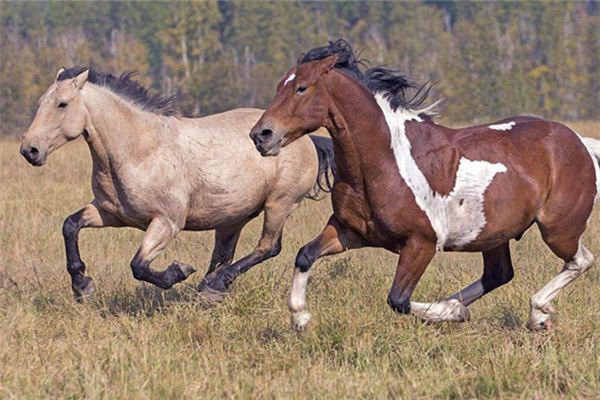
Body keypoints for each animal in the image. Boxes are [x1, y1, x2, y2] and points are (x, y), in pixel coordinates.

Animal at [20, 67, 335, 301]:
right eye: (40, 103)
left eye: (62, 104)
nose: (30, 150)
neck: (140, 151)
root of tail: (307, 139)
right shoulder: (109, 213)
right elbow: (70, 225)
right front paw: (81, 285)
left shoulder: (167, 222)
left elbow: (139, 265)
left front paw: (178, 272)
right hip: (232, 216)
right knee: (224, 254)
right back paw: (210, 288)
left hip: (280, 204)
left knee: (268, 247)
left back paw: (213, 287)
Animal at [242, 39, 600, 331]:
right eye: (280, 86)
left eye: (302, 88)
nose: (261, 135)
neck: (382, 160)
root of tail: (579, 142)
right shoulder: (349, 231)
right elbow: (305, 255)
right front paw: (300, 318)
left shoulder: (421, 243)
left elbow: (397, 299)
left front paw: (452, 313)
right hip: (493, 233)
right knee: (499, 274)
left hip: (558, 228)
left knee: (580, 260)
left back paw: (538, 314)